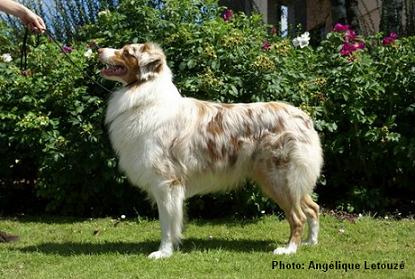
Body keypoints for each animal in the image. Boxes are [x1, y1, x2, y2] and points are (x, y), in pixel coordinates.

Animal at [98, 43, 324, 260]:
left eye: (127, 52)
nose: (98, 49)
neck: (144, 94)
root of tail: (303, 117)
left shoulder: (165, 182)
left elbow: (166, 225)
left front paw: (163, 252)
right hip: (289, 180)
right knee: (313, 208)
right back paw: (310, 242)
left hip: (279, 179)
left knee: (298, 217)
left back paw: (289, 249)